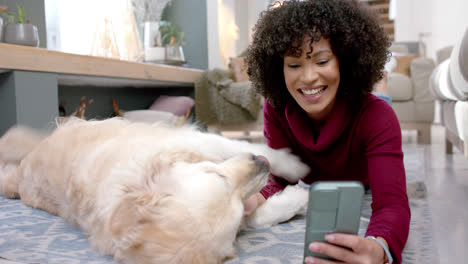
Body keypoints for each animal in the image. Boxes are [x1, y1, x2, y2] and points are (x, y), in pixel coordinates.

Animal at [0, 118, 310, 264]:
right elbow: (259, 215)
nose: (261, 165)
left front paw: (294, 166)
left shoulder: (195, 142)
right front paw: (302, 197)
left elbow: (244, 145)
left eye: (214, 173)